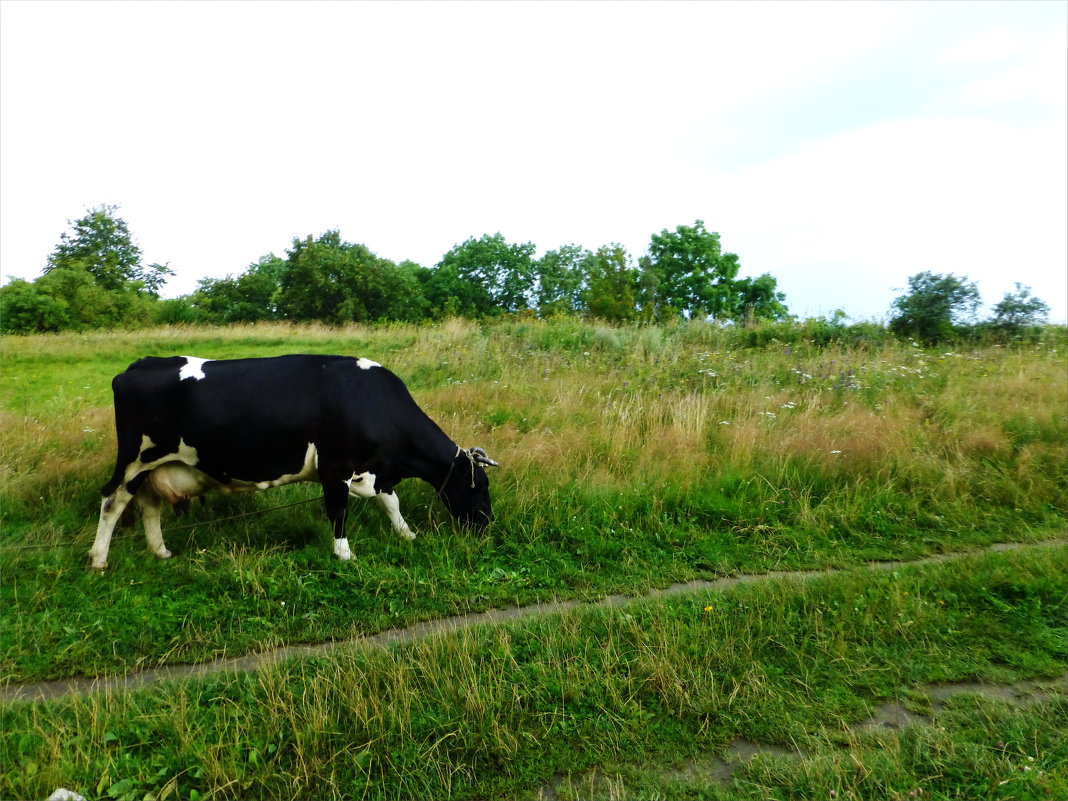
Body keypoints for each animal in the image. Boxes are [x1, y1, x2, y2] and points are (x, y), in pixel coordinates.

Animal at [86, 356, 495, 572]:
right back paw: (99, 560)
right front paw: (344, 554)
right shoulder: (335, 467)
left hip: (152, 469)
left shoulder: (375, 469)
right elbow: (338, 512)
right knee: (111, 502)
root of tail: (140, 365)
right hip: (134, 461)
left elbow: (390, 502)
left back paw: (160, 551)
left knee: (149, 506)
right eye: (480, 487)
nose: (489, 524)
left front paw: (407, 535)